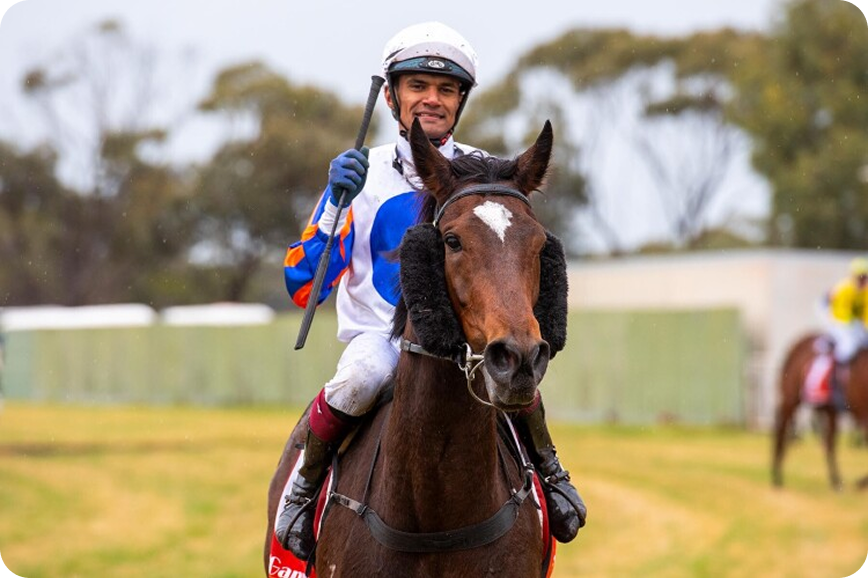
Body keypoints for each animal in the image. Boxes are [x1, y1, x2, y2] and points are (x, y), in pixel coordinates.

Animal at [771, 332, 868, 490]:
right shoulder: (862, 414)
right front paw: (860, 483)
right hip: (791, 399)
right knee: (781, 430)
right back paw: (777, 478)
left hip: (828, 410)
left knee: (828, 443)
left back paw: (836, 481)